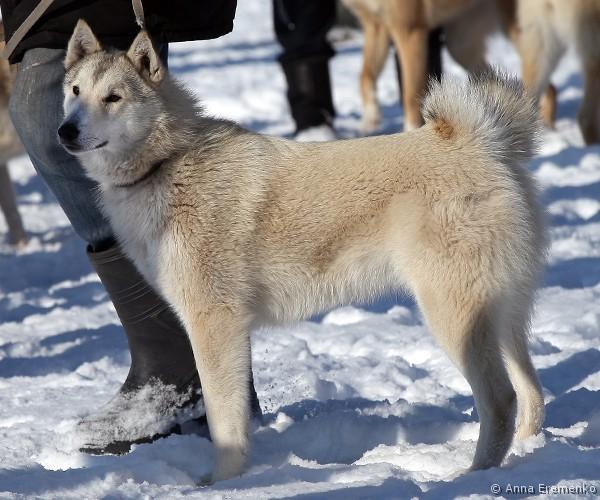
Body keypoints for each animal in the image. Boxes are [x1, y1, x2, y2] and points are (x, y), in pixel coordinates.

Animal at [59, 20, 546, 482]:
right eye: (75, 91)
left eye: (114, 97)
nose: (65, 130)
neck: (167, 162)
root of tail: (479, 144)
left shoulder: (214, 324)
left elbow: (224, 419)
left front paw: (223, 480)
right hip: (502, 313)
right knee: (530, 389)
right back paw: (529, 450)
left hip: (454, 313)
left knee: (501, 399)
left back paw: (473, 474)